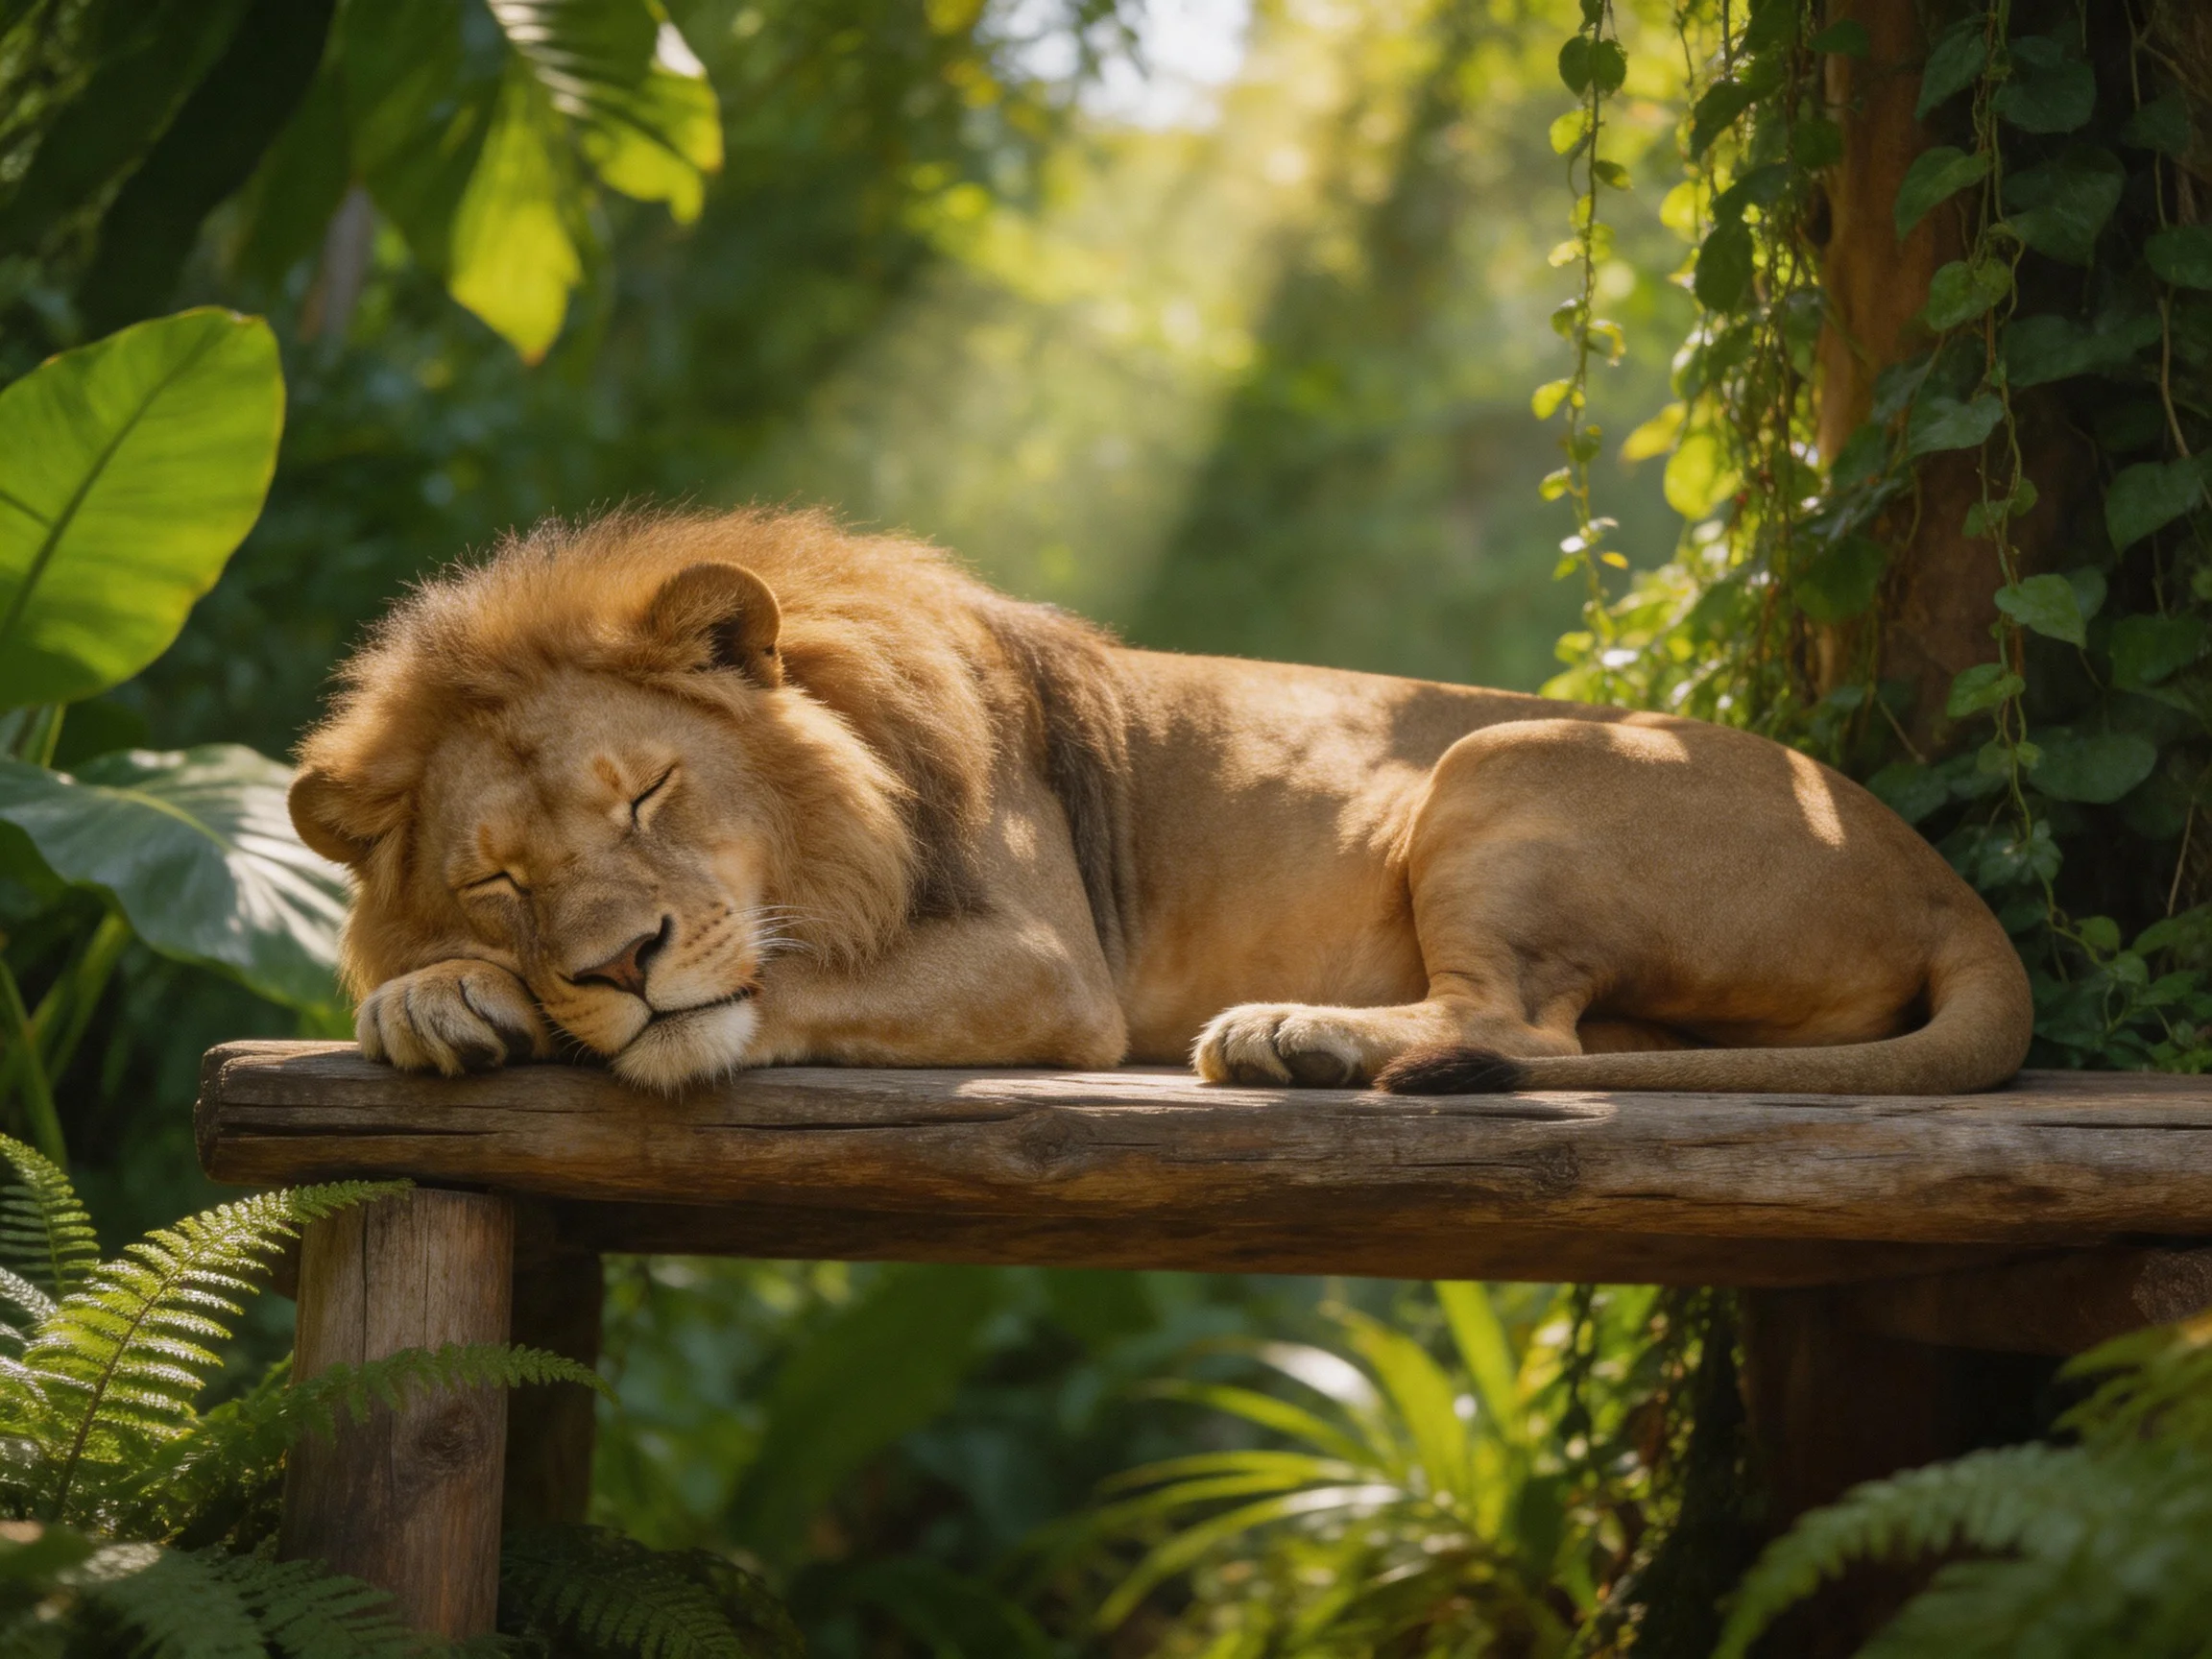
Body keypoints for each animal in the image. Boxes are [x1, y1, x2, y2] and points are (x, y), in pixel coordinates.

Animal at [289, 507, 2033, 1096]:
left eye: (649, 792)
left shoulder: (1048, 966)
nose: (617, 963)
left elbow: (783, 984)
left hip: (1494, 764)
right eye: (501, 883)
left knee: (1523, 1036)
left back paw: (1290, 1038)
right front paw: (437, 999)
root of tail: (1943, 879)